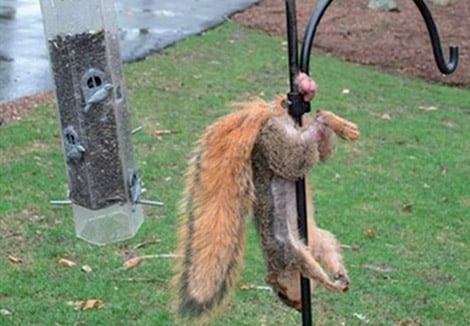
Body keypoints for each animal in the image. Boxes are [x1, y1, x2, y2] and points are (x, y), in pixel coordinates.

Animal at [173, 73, 360, 320]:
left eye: (281, 293)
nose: (297, 307)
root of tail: (264, 120)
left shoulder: (285, 250)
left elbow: (310, 265)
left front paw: (326, 280)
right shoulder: (314, 243)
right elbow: (328, 251)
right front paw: (339, 277)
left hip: (279, 147)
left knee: (309, 135)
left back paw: (326, 111)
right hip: (287, 141)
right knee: (318, 136)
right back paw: (331, 116)